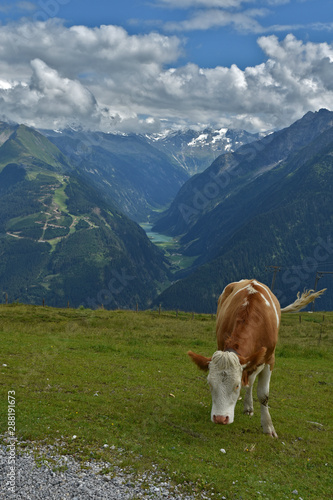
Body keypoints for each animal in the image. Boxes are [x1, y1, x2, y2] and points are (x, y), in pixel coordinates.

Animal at [188, 280, 326, 440]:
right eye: (210, 384)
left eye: (236, 386)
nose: (220, 419)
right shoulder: (222, 345)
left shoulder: (269, 360)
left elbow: (263, 395)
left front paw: (268, 427)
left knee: (252, 381)